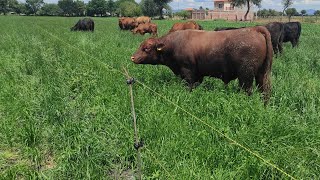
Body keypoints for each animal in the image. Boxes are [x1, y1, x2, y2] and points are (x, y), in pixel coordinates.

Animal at [131, 25, 274, 103]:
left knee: (248, 91)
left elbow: (188, 86)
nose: (132, 57)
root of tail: (254, 29)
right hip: (262, 74)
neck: (173, 45)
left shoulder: (187, 72)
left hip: (245, 76)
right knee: (264, 91)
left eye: (146, 48)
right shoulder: (198, 75)